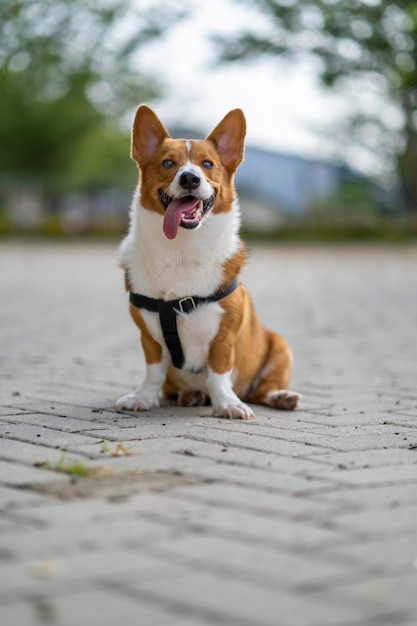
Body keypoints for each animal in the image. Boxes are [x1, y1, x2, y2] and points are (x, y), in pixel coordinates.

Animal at [115, 105, 300, 416]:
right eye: (168, 163)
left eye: (207, 164)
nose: (190, 178)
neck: (182, 250)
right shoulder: (148, 336)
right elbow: (153, 372)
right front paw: (142, 397)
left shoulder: (224, 336)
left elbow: (218, 372)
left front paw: (226, 403)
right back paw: (190, 395)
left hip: (281, 348)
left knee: (261, 390)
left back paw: (279, 397)